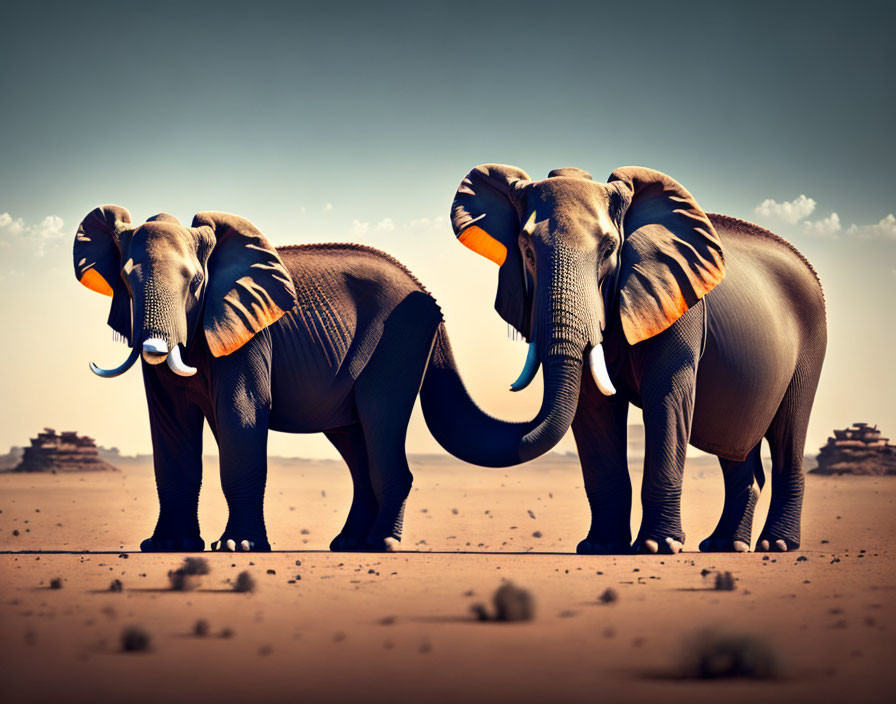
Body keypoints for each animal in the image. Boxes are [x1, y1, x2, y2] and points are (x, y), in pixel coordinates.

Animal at [73, 206, 572, 552]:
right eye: (124, 282)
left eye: (195, 283)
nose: (156, 348)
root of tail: (429, 297)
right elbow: (170, 429)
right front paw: (165, 547)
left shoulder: (252, 333)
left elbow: (242, 415)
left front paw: (236, 547)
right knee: (355, 441)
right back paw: (350, 543)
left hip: (399, 342)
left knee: (379, 423)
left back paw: (381, 545)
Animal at [444, 165, 828, 556]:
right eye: (526, 251)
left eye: (610, 249)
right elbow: (593, 408)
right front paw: (600, 546)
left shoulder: (677, 301)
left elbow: (667, 399)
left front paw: (658, 546)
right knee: (736, 448)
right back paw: (725, 544)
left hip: (812, 342)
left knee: (788, 432)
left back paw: (776, 544)